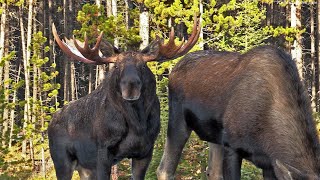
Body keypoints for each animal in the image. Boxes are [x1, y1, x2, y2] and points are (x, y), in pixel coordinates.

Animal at [48, 17, 200, 180]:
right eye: (116, 66)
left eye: (143, 65)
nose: (131, 87)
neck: (137, 124)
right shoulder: (103, 151)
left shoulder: (145, 151)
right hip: (62, 160)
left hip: (85, 168)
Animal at [157, 47, 320, 179]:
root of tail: (174, 69)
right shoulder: (231, 147)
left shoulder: (269, 165)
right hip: (178, 120)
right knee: (164, 170)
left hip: (214, 136)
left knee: (212, 172)